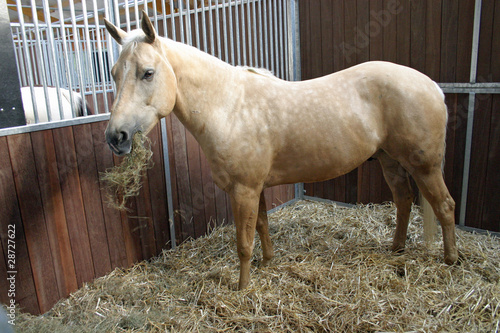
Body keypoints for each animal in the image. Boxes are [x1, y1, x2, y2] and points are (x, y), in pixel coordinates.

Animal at [104, 13, 458, 288]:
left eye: (148, 73)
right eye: (114, 73)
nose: (116, 136)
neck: (230, 107)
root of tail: (432, 86)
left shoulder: (243, 190)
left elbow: (243, 243)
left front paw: (243, 288)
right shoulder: (255, 188)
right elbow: (261, 226)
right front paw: (268, 263)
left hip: (425, 167)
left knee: (444, 206)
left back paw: (451, 260)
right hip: (390, 160)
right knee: (404, 201)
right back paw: (396, 249)